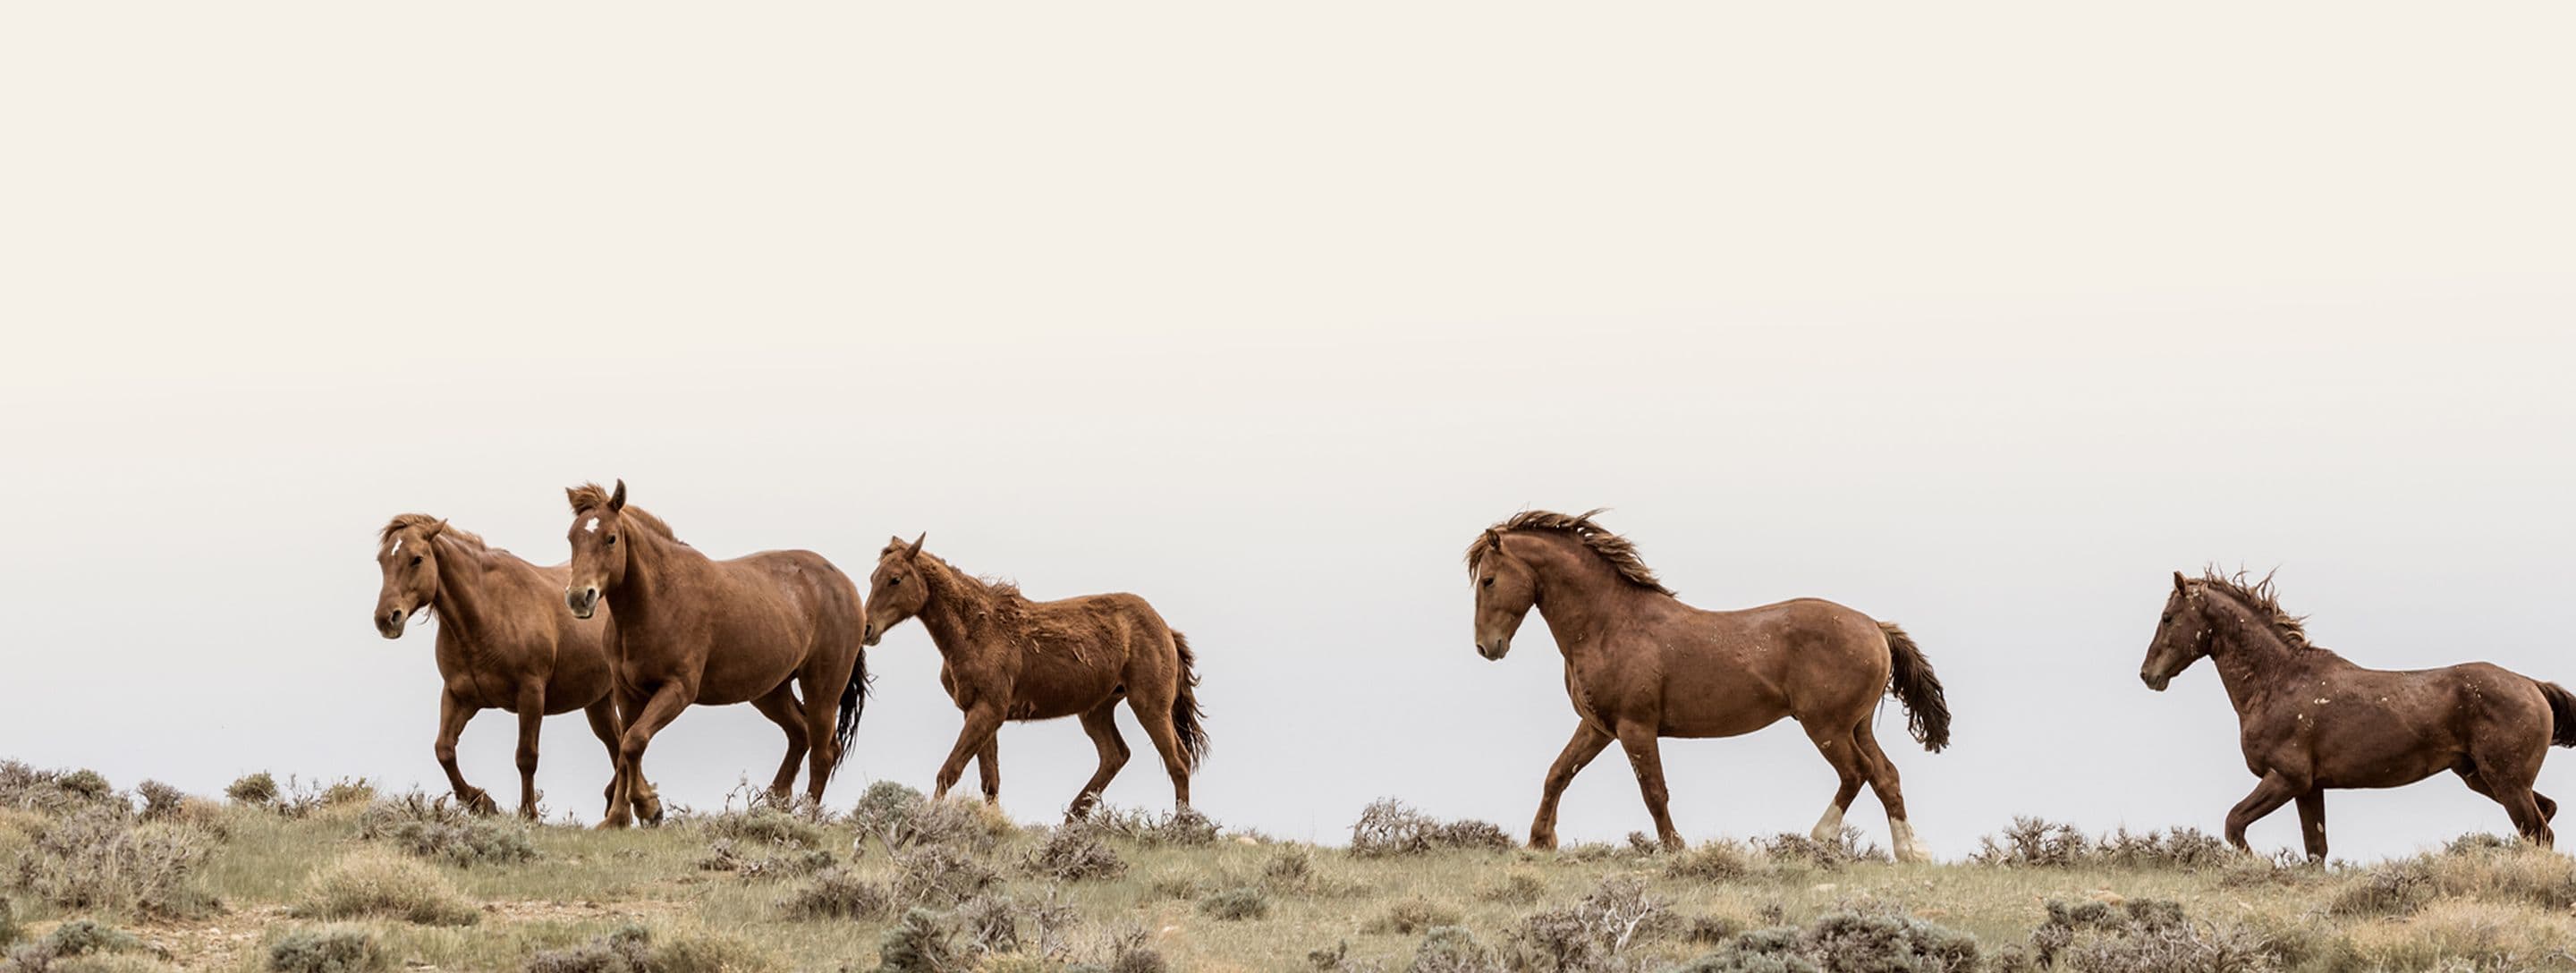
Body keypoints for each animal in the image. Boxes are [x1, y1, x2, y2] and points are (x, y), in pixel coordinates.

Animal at [371, 513, 648, 820]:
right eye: (381, 560)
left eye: (417, 559)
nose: (387, 618)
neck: (487, 614)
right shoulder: (459, 696)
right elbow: (444, 749)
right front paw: (481, 802)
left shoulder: (530, 694)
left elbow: (526, 757)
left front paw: (528, 813)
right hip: (598, 701)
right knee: (617, 741)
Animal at [561, 481, 869, 827]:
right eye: (572, 538)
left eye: (611, 538)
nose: (579, 598)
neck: (657, 601)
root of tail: (845, 585)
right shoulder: (627, 693)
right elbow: (626, 750)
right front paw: (618, 817)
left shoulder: (678, 690)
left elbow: (633, 741)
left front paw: (648, 806)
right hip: (770, 691)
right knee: (800, 734)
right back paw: (775, 805)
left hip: (822, 689)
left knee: (823, 750)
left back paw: (805, 819)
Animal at [860, 533, 1208, 816]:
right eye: (873, 577)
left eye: (895, 579)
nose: (867, 628)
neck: (976, 630)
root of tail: (1165, 629)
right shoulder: (978, 712)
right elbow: (990, 781)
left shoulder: (988, 711)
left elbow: (949, 771)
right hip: (1096, 710)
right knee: (1115, 756)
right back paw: (1072, 820)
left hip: (1149, 706)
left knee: (1178, 762)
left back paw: (1181, 830)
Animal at [1466, 510, 1951, 860]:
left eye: (1489, 580)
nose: (1487, 647)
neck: (1608, 624)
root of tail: (1875, 627)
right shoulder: (1599, 727)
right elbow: (1558, 773)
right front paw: (1539, 841)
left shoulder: (1635, 727)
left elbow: (1653, 791)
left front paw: (1674, 849)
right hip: (1856, 725)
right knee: (1885, 775)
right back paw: (1911, 852)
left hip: (1826, 726)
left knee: (1857, 773)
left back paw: (1819, 839)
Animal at [2140, 570, 2576, 859]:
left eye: (2168, 618)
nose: (2148, 675)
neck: (2279, 681)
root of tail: (2531, 685)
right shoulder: (2308, 788)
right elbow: (2316, 850)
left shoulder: (2285, 779)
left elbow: (2235, 824)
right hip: (2480, 777)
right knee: (2545, 816)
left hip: (2506, 781)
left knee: (2539, 832)